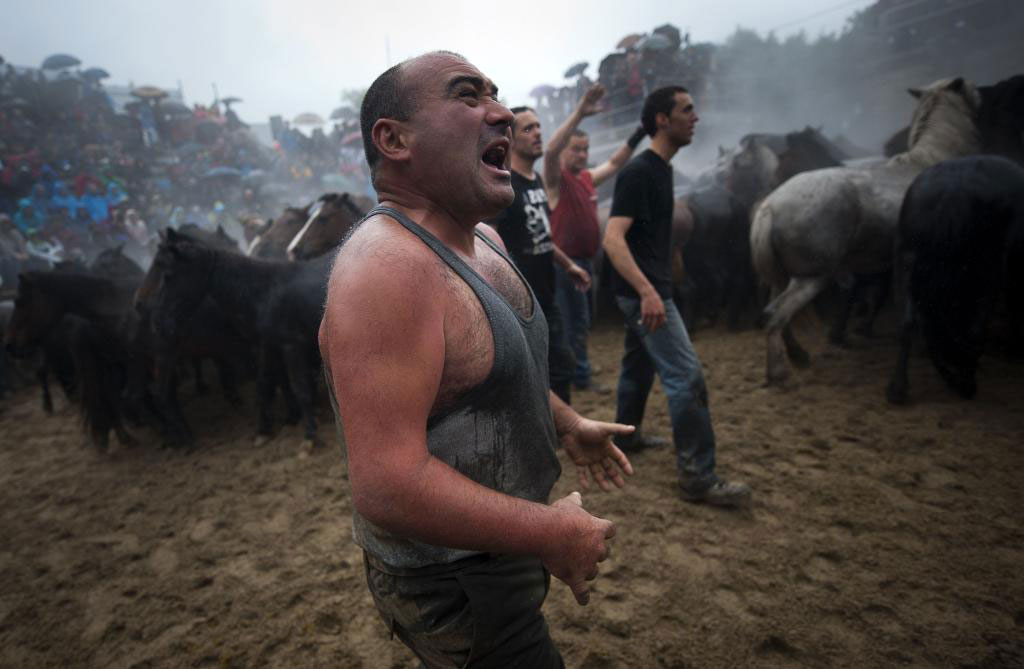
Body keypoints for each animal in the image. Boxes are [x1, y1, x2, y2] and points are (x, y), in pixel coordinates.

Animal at [753, 76, 983, 381]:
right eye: (971, 90)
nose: (982, 98)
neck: (934, 159)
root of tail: (770, 207)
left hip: (780, 274)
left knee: (774, 311)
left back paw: (798, 355)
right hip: (811, 275)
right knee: (776, 313)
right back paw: (778, 371)